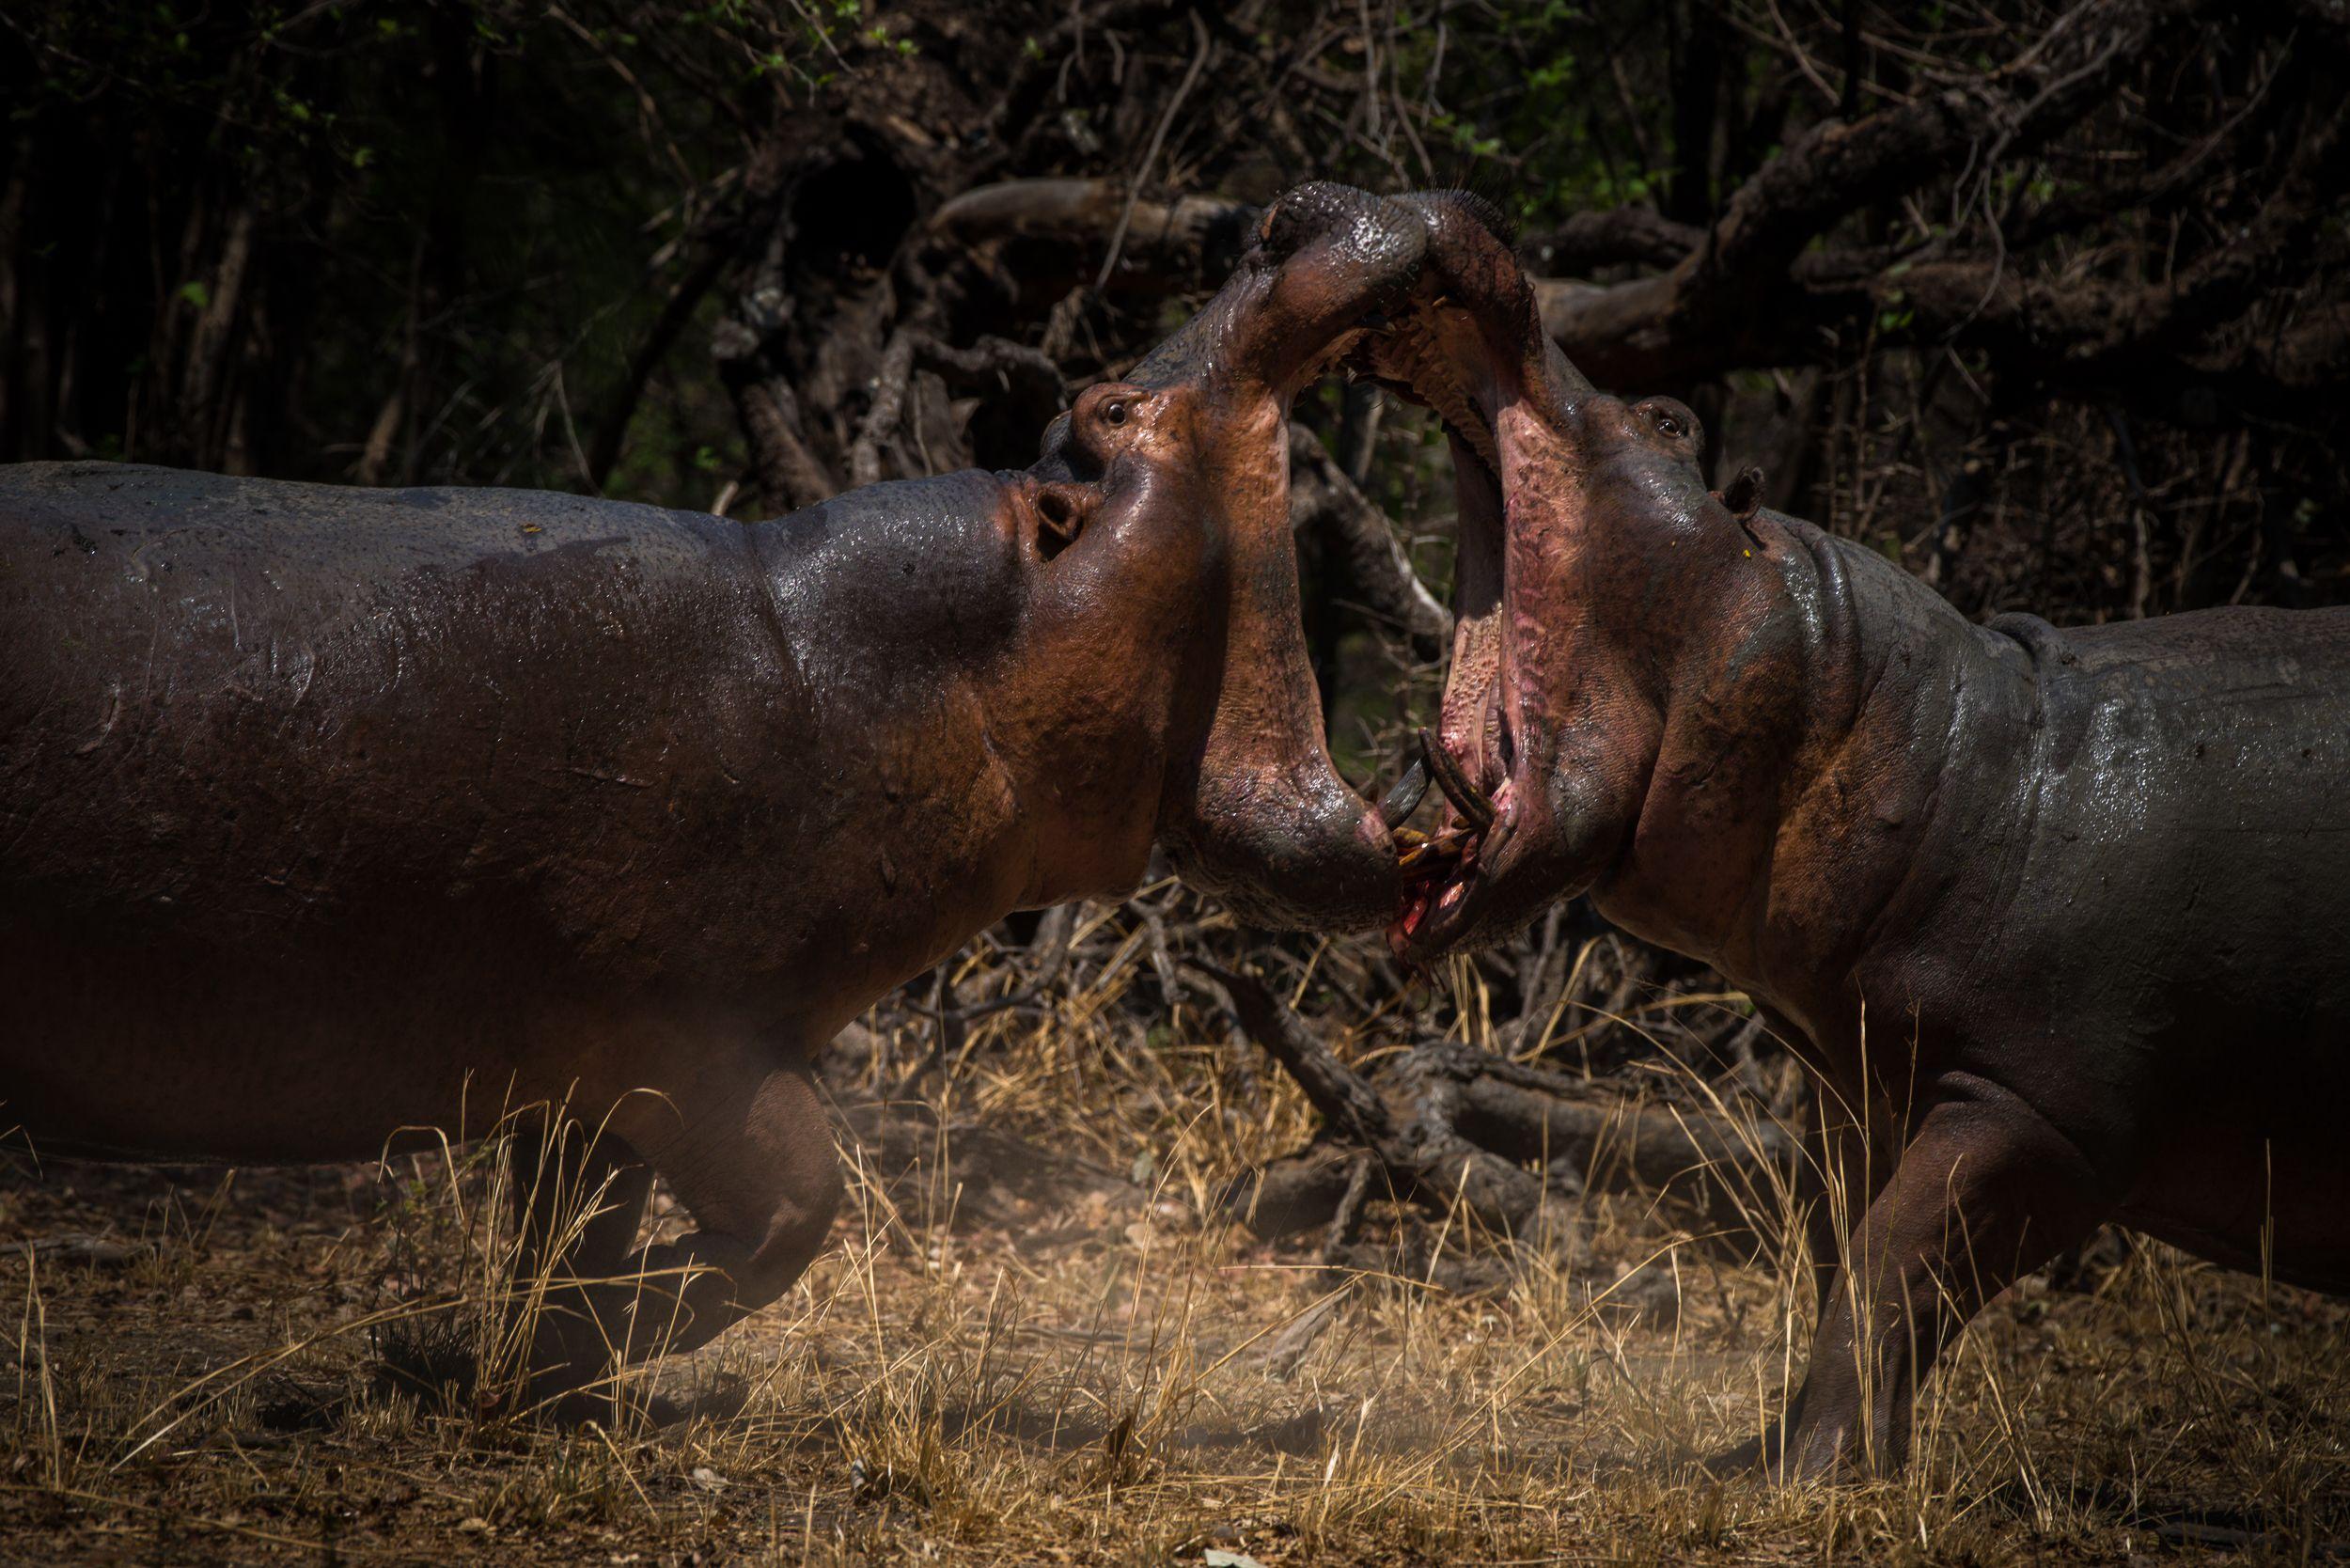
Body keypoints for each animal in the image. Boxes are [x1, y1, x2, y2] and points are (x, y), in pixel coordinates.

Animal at [0, 182, 1417, 1411]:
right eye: (1115, 411)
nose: (1313, 215)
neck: (876, 662)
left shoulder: (580, 1072)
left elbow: (569, 1232)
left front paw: (507, 1372)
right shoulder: (692, 1039)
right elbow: (796, 1214)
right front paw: (490, 1356)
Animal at [1353, 188, 2350, 1477]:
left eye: (1670, 419)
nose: (1440, 211)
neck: (1932, 754)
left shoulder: (2039, 1112)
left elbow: (1888, 1269)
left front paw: (1808, 1479)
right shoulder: (1858, 1090)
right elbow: (1842, 1259)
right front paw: (1773, 1458)